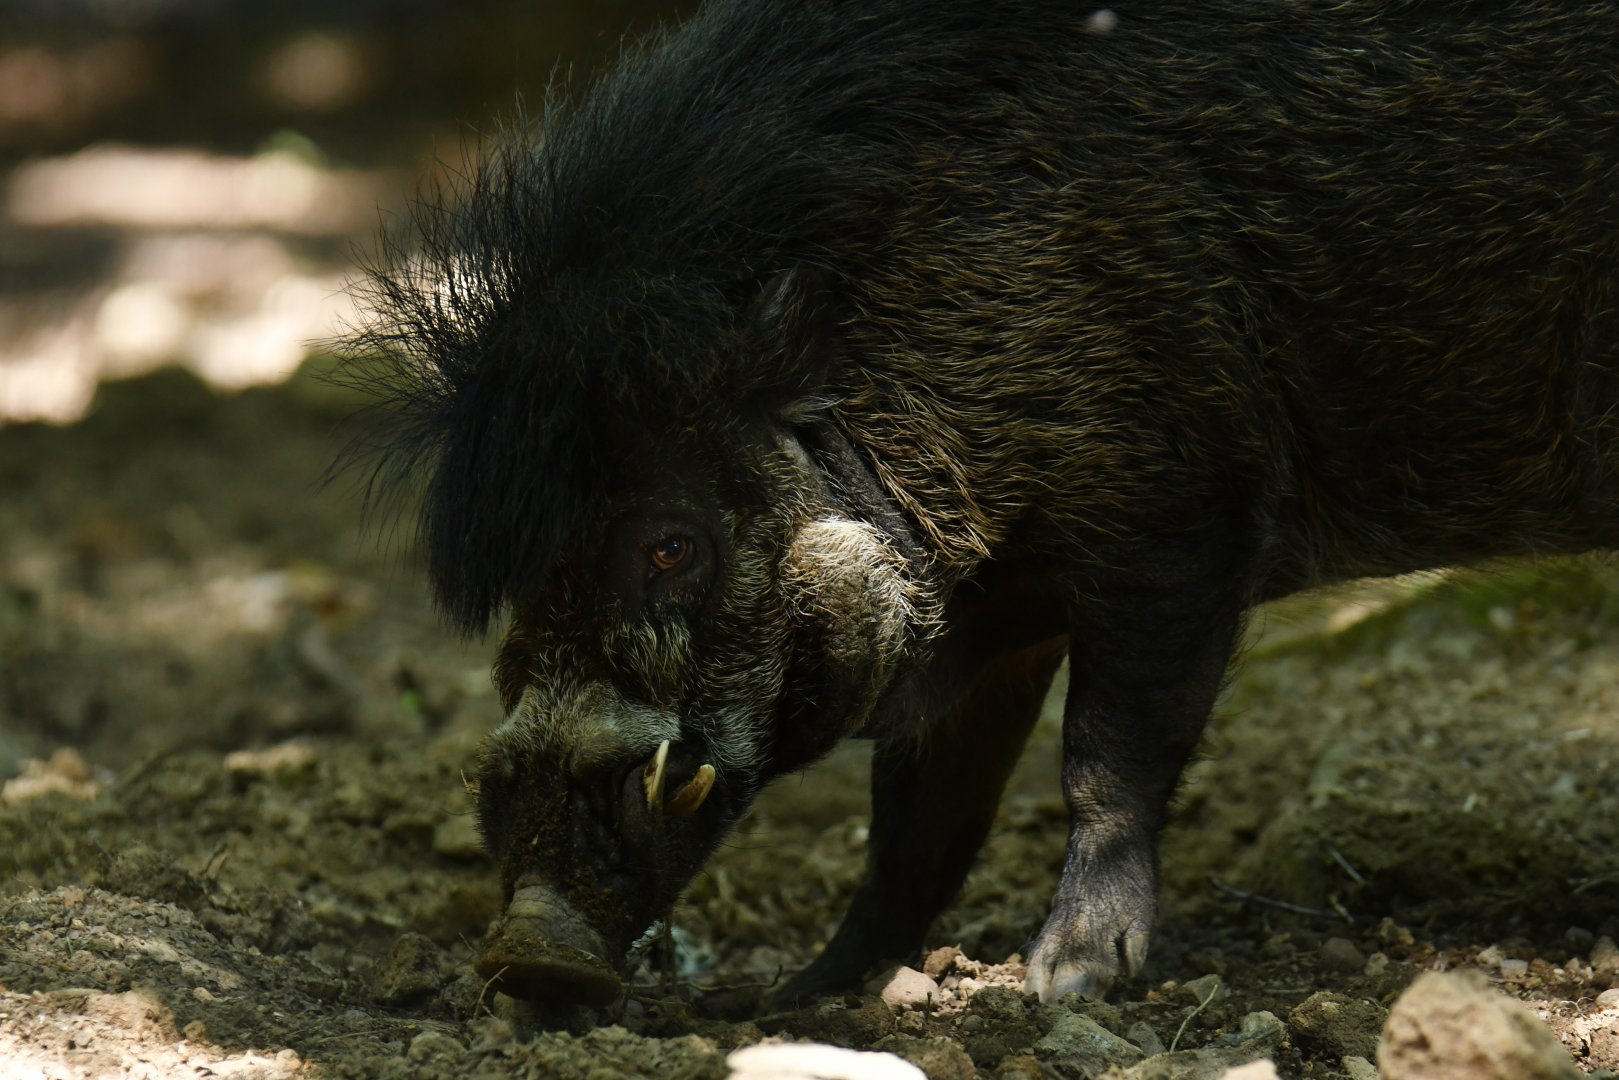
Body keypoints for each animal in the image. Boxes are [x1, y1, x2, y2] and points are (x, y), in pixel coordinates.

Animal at [344, 0, 1619, 1005]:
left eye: (667, 546)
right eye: (528, 578)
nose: (526, 954)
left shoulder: (1175, 520)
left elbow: (1103, 758)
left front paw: (1067, 981)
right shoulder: (987, 616)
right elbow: (915, 827)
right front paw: (792, 998)